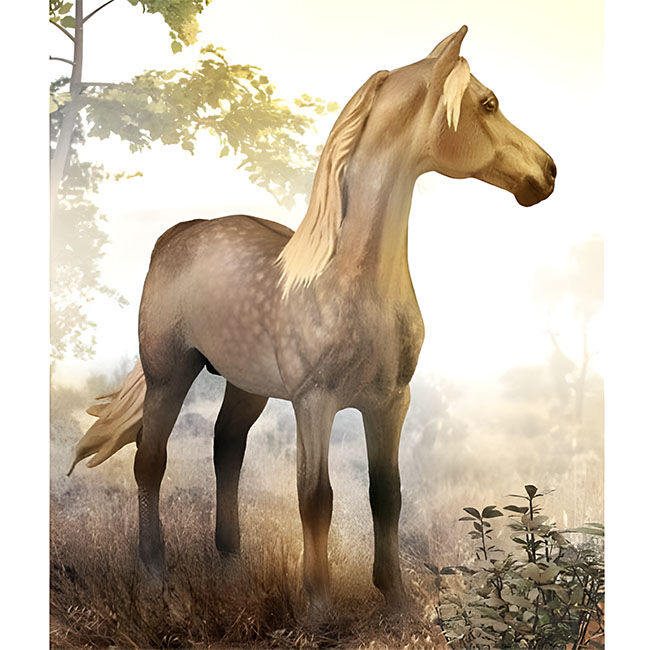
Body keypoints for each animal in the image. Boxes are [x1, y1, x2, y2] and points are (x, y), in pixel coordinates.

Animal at [69, 26, 556, 614]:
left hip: (246, 385)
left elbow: (386, 494)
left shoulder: (390, 403)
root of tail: (178, 235)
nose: (548, 172)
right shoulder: (315, 403)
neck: (354, 283)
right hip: (170, 374)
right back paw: (155, 579)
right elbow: (315, 498)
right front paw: (320, 606)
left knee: (226, 449)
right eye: (488, 103)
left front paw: (396, 600)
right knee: (150, 461)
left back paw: (230, 564)